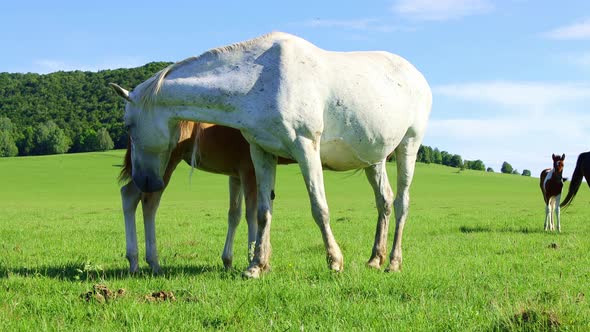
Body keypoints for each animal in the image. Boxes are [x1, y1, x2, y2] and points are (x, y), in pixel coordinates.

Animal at [111, 31, 432, 278]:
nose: (146, 181)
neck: (262, 78)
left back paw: (393, 262)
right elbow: (262, 212)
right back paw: (375, 259)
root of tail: (418, 76)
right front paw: (257, 265)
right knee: (384, 201)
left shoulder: (305, 148)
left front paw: (334, 261)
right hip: (373, 158)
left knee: (401, 202)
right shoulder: (260, 154)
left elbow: (319, 207)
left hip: (408, 145)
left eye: (128, 125)